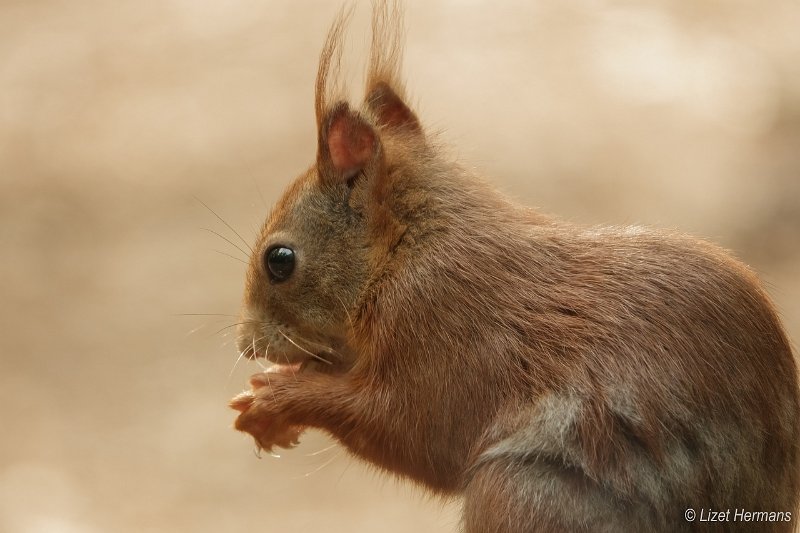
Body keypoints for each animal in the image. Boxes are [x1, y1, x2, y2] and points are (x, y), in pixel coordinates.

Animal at [228, 2, 796, 528]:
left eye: (280, 260)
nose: (246, 343)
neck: (407, 252)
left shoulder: (442, 330)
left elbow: (409, 433)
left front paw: (280, 398)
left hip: (520, 493)